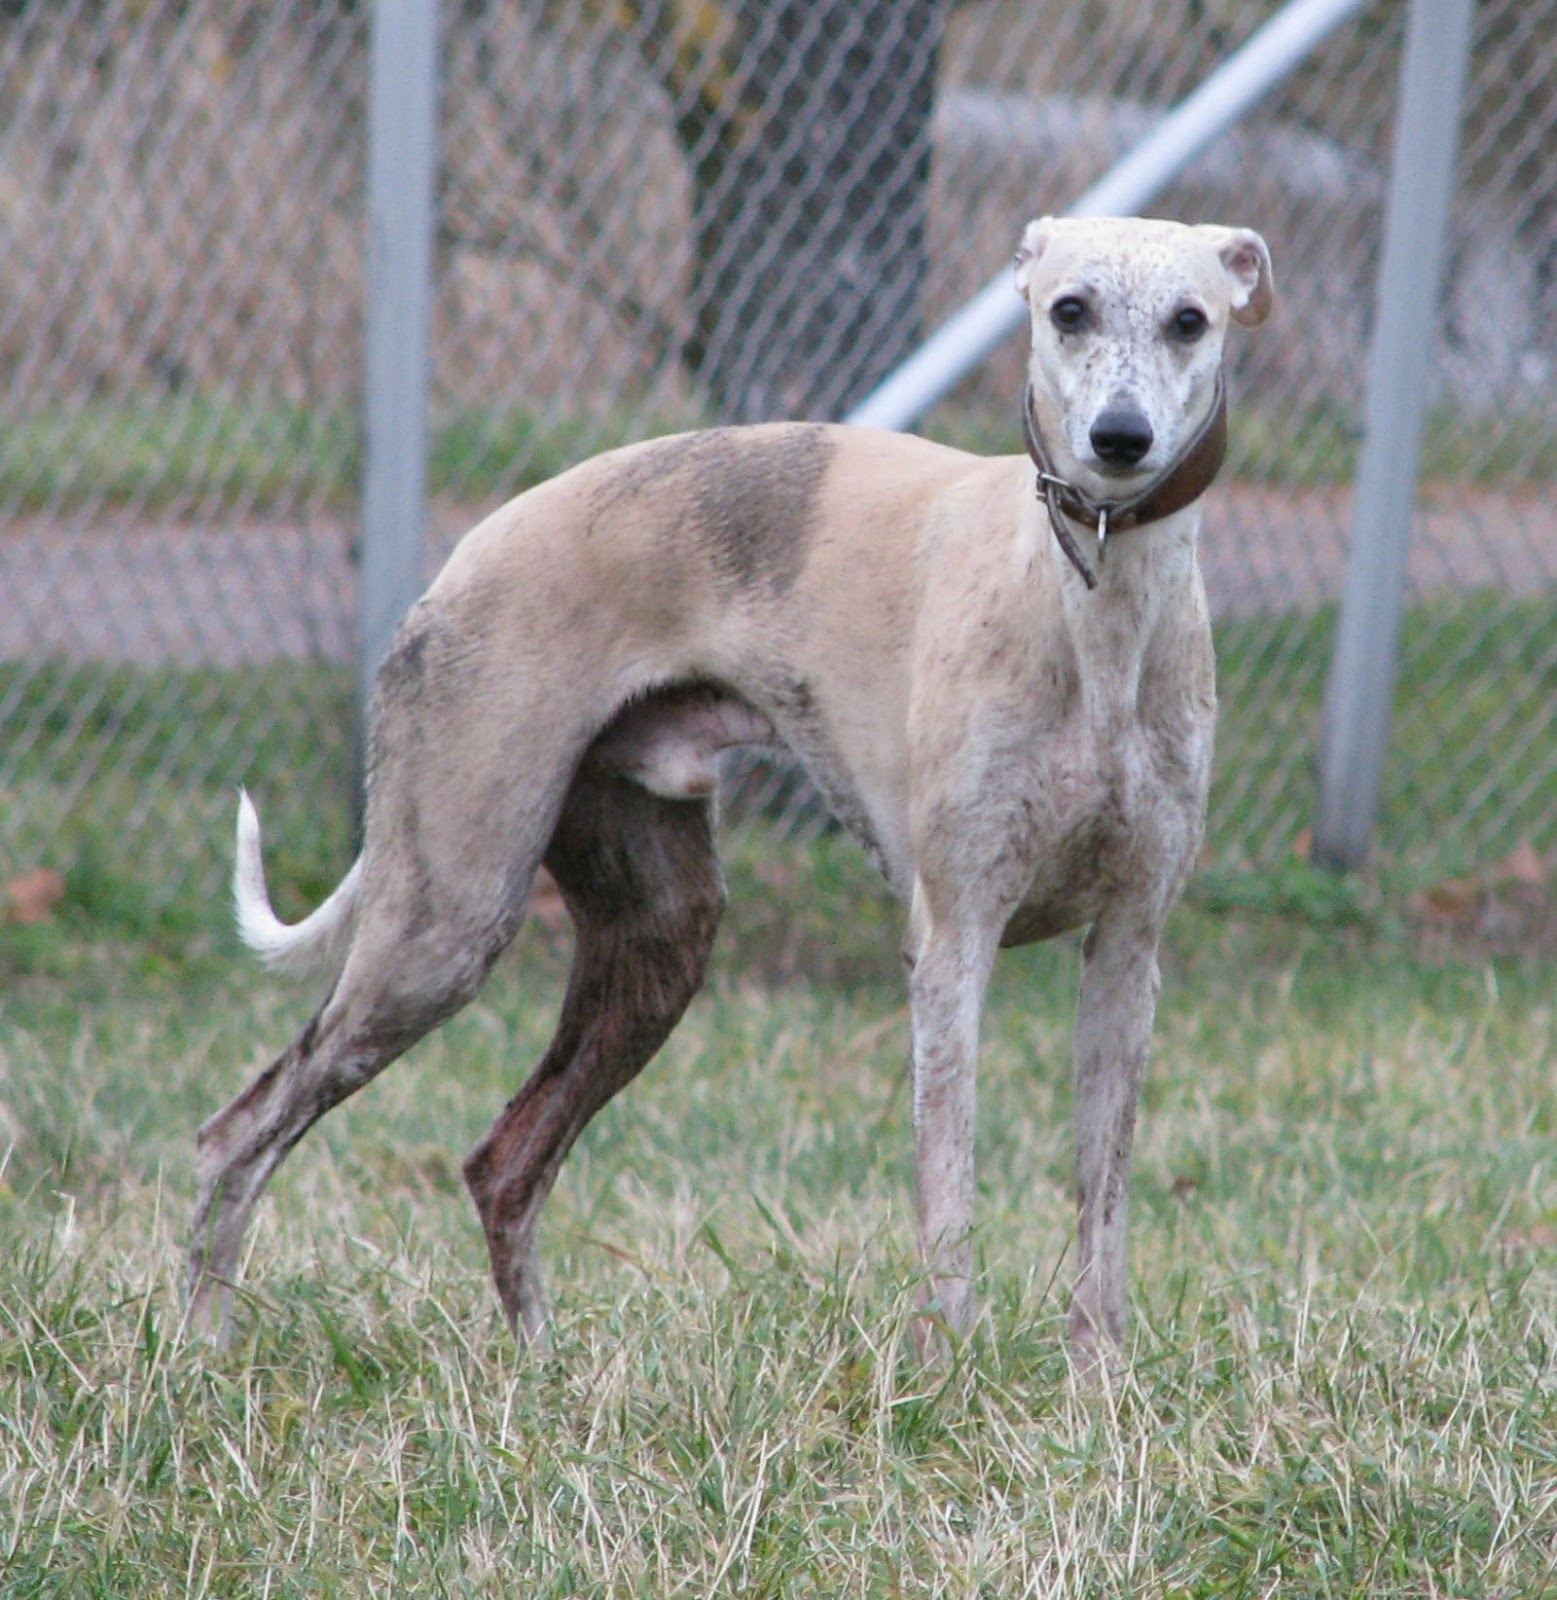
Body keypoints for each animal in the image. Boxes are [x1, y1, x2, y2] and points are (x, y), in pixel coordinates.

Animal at [190, 215, 1272, 1361]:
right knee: (238, 1134)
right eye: (1069, 309)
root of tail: (466, 556)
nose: (1120, 440)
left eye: (1189, 319)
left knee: (504, 1160)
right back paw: (203, 1345)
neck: (1087, 603)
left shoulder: (1128, 949)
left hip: (658, 937)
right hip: (444, 925)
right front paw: (947, 1370)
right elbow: (948, 1193)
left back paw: (541, 1366)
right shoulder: (953, 941)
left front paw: (1097, 1380)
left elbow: (1101, 1203)